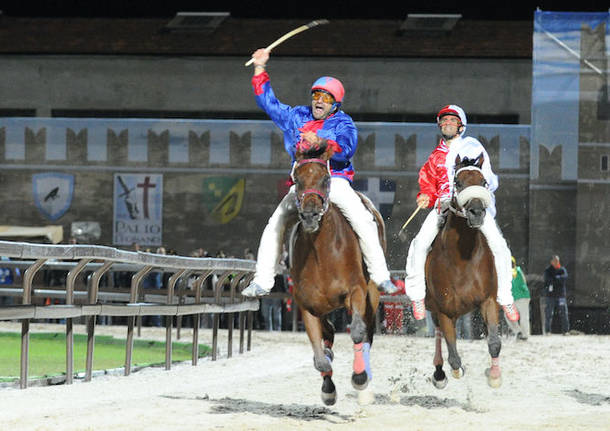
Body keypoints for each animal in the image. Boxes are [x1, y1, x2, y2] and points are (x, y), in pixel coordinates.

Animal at [288, 143, 382, 406]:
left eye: (326, 179)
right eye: (297, 179)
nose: (309, 215)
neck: (322, 254)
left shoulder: (356, 290)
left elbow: (358, 331)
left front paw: (360, 377)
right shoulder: (307, 305)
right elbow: (320, 357)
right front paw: (328, 388)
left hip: (372, 294)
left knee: (367, 331)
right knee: (329, 331)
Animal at [426, 154, 502, 390]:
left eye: (483, 182)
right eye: (458, 183)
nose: (477, 212)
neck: (462, 258)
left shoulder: (488, 299)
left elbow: (494, 342)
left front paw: (494, 375)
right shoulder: (444, 309)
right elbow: (454, 357)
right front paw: (453, 370)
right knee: (439, 335)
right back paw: (439, 373)